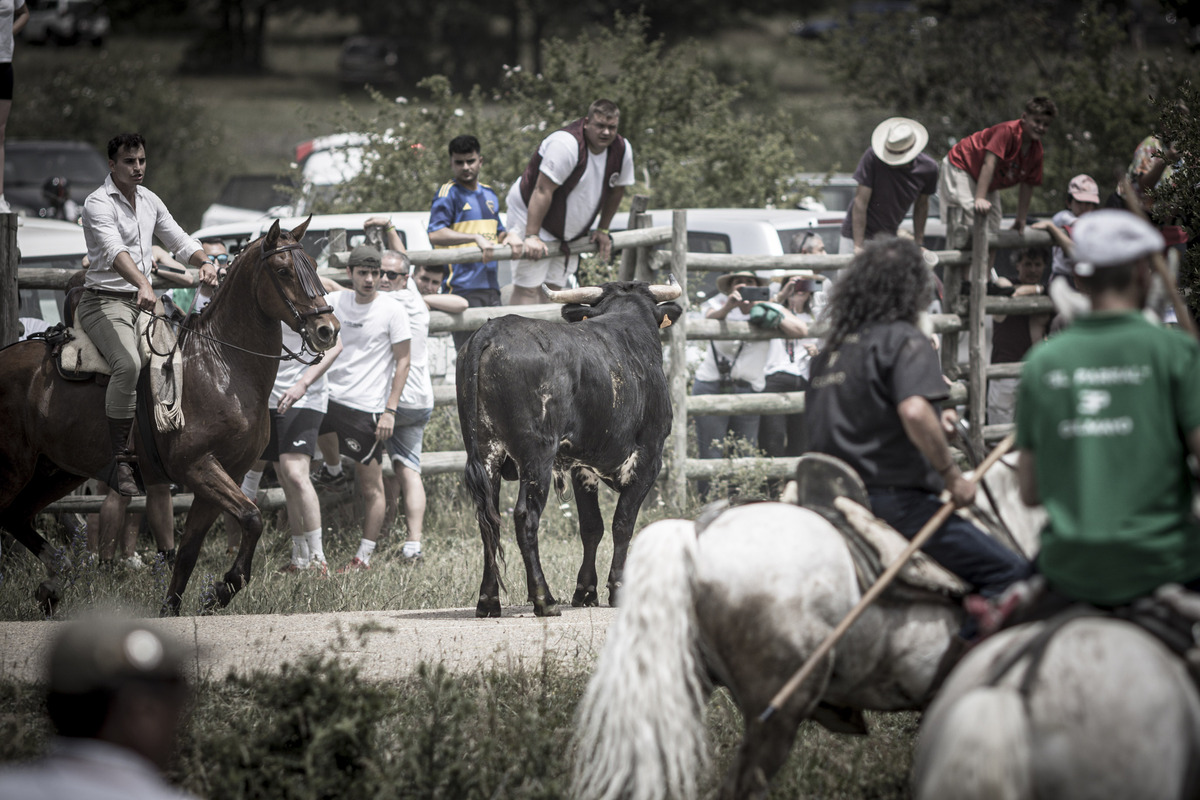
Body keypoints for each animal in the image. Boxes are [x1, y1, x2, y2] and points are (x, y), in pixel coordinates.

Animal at [1, 219, 338, 614]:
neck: (221, 365)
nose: (327, 330)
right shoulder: (198, 467)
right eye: (284, 271)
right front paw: (222, 589)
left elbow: (191, 550)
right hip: (15, 469)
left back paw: (54, 582)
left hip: (57, 470)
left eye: (313, 266)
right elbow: (252, 518)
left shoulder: (223, 475)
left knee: (15, 516)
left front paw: (183, 605)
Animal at [458, 281, 681, 618]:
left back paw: (488, 601)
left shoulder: (581, 465)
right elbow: (623, 523)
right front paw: (617, 589)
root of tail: (492, 329)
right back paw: (544, 599)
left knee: (489, 520)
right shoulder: (649, 459)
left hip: (486, 454)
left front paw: (585, 590)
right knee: (525, 517)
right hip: (537, 456)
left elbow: (592, 526)